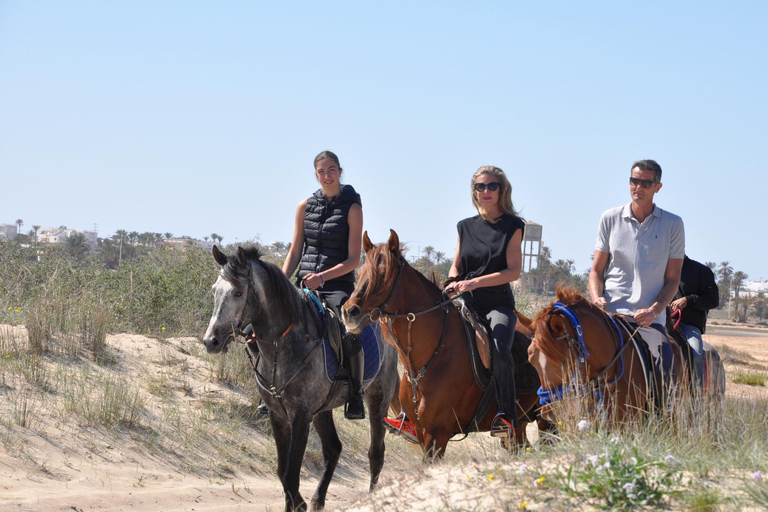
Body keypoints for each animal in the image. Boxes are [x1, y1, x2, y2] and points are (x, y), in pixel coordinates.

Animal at [201, 246, 400, 510]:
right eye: (215, 290)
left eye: (238, 292)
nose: (210, 341)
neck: (283, 342)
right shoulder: (278, 415)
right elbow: (282, 473)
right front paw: (299, 504)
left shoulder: (300, 416)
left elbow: (290, 475)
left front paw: (299, 504)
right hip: (323, 409)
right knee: (333, 449)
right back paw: (317, 500)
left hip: (378, 400)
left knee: (376, 454)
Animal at [342, 230, 544, 458]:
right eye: (360, 272)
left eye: (384, 275)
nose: (349, 312)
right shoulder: (421, 433)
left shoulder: (437, 434)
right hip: (520, 424)